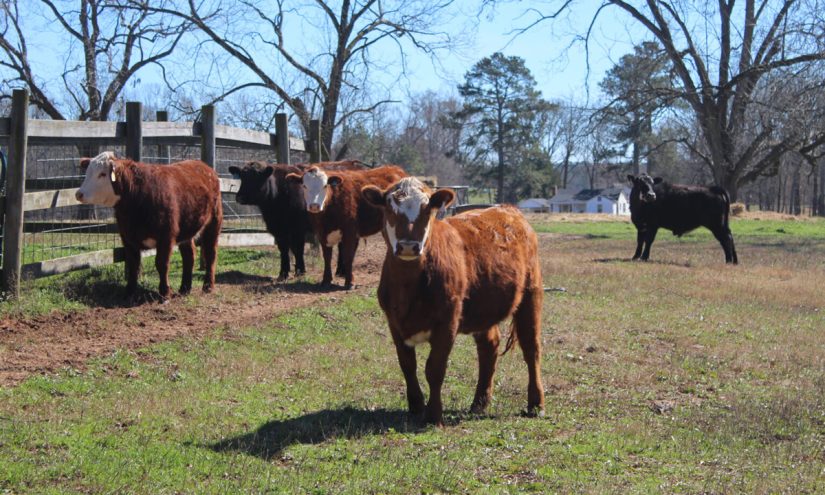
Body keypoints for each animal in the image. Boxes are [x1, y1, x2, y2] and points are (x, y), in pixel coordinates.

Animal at [74, 151, 220, 300]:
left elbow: (161, 263)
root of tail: (204, 166)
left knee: (210, 253)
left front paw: (165, 292)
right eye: (87, 172)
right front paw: (129, 292)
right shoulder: (127, 237)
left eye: (102, 174)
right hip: (187, 229)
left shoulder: (166, 236)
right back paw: (184, 288)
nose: (79, 194)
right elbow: (133, 265)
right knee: (189, 255)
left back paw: (208, 286)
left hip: (214, 222)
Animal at [358, 178, 540, 426]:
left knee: (531, 349)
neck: (407, 287)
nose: (408, 246)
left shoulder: (448, 321)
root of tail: (508, 209)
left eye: (428, 209)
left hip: (531, 293)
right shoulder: (394, 322)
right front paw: (416, 407)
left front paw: (434, 414)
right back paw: (479, 402)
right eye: (389, 207)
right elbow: (407, 365)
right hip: (484, 309)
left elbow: (434, 369)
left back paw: (536, 404)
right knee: (489, 346)